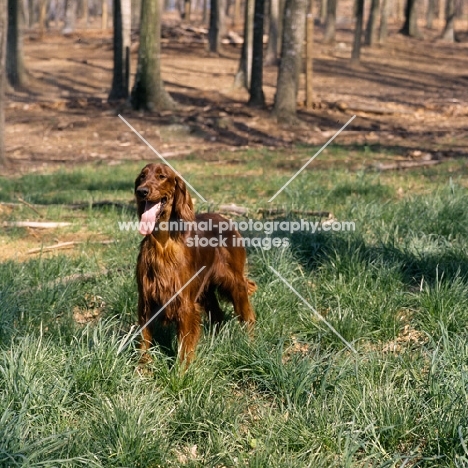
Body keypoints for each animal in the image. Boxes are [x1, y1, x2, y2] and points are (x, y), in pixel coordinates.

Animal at [133, 163, 256, 364]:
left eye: (161, 176)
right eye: (142, 176)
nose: (141, 191)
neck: (163, 242)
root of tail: (225, 218)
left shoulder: (185, 303)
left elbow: (184, 345)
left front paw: (181, 370)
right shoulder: (146, 299)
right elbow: (144, 340)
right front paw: (142, 367)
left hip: (234, 282)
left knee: (247, 316)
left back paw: (251, 344)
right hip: (205, 289)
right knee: (217, 314)